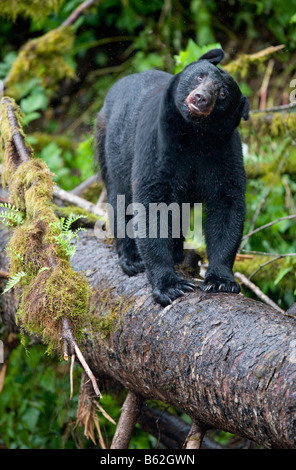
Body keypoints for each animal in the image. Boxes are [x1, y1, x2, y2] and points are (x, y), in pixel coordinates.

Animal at [96, 47, 249, 304]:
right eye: (200, 76)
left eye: (223, 93)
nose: (201, 98)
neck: (195, 135)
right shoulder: (157, 144)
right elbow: (152, 203)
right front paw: (169, 285)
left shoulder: (224, 151)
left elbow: (227, 204)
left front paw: (220, 280)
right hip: (108, 147)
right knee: (120, 198)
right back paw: (131, 259)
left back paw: (177, 252)